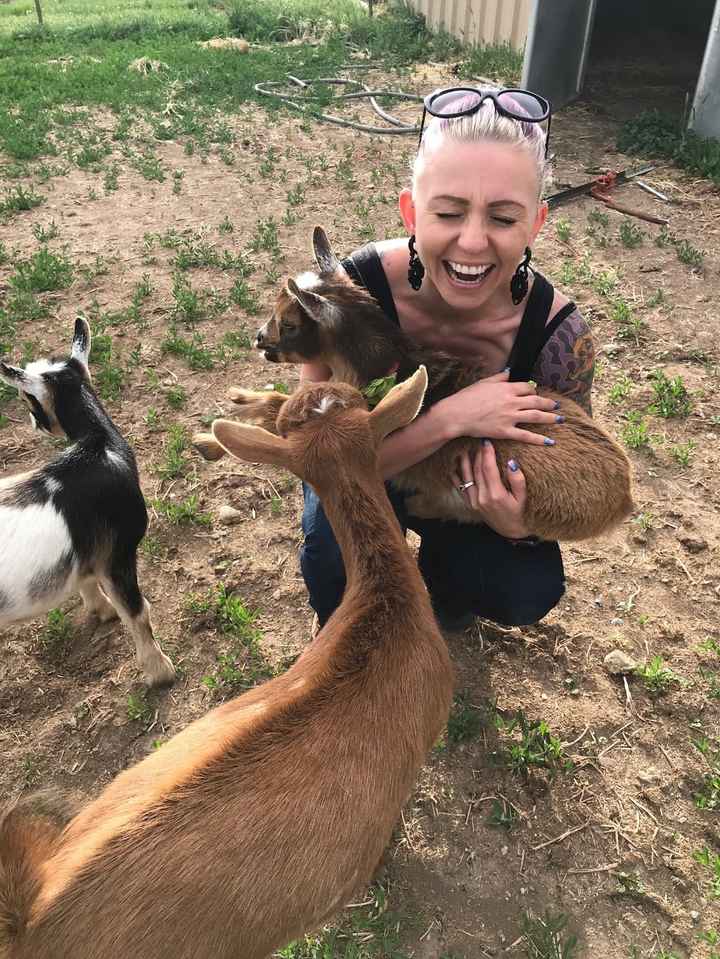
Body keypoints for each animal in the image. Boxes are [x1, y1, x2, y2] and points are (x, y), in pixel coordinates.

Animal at [0, 317, 175, 687]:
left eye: (28, 398)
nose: (34, 423)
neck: (100, 445)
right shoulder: (118, 552)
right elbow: (137, 610)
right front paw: (161, 672)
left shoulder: (90, 550)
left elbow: (86, 577)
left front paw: (101, 609)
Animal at [193, 226, 633, 542]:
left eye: (289, 323)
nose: (258, 339)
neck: (389, 366)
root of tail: (623, 499)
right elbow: (279, 401)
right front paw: (236, 400)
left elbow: (275, 419)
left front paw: (208, 440)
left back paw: (423, 504)